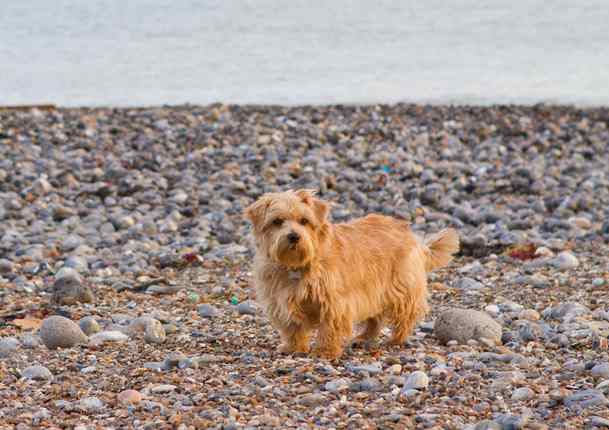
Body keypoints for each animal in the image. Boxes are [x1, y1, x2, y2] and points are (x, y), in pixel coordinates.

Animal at [242, 189, 456, 360]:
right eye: (277, 221)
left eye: (304, 221)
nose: (294, 236)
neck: (296, 265)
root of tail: (410, 233)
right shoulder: (281, 301)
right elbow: (292, 327)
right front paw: (294, 347)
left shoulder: (334, 303)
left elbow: (329, 328)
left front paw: (325, 351)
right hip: (374, 292)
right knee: (375, 319)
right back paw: (364, 338)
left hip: (401, 288)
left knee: (406, 315)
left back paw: (397, 339)